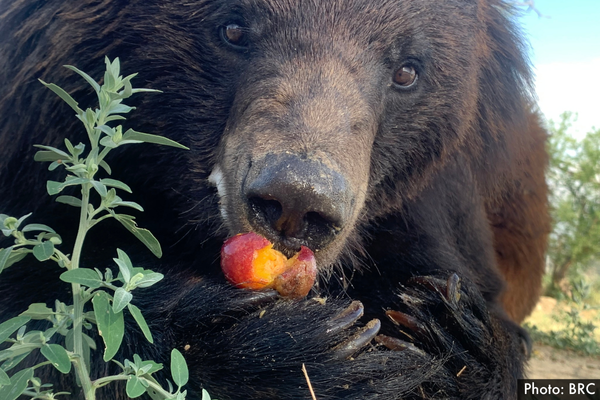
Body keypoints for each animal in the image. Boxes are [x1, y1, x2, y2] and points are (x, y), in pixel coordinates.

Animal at [0, 0, 548, 400]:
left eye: (408, 71)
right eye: (232, 28)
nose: (297, 202)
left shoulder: (434, 202)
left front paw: (443, 329)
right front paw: (305, 348)